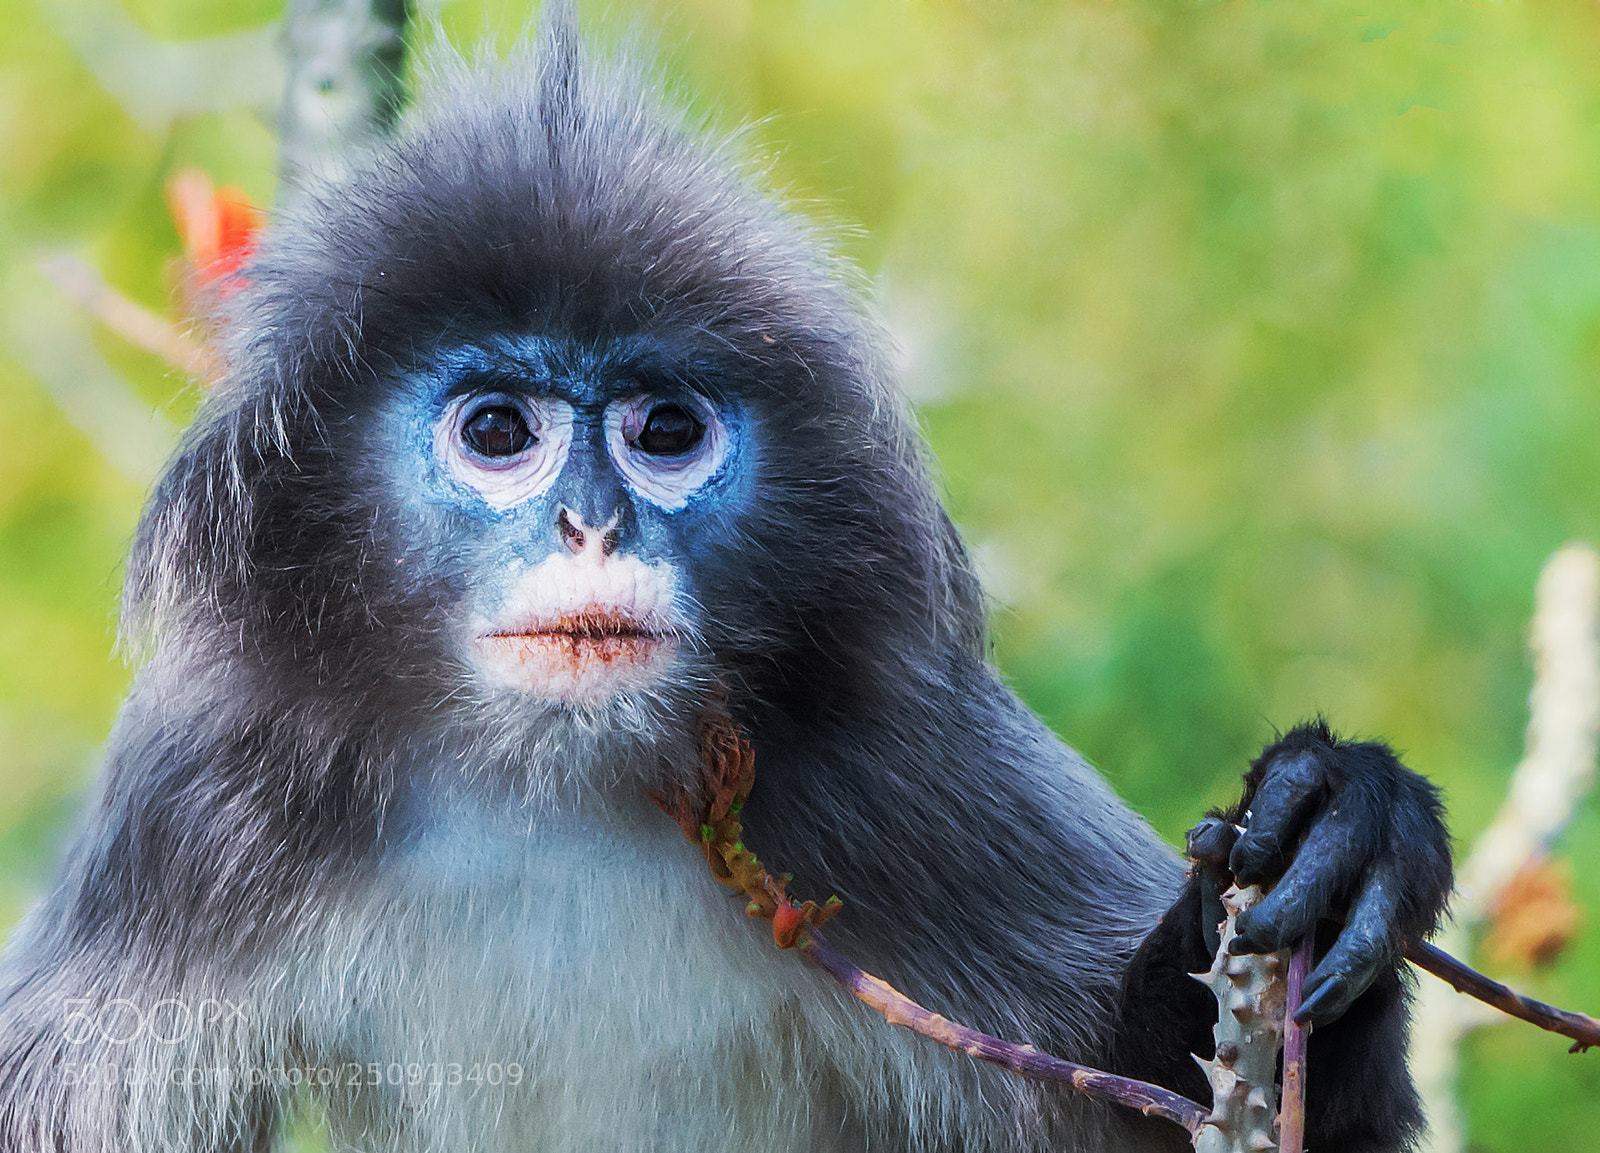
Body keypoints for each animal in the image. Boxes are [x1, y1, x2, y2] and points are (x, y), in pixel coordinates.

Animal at [0, 16, 1451, 1153]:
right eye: (496, 431)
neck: (559, 787)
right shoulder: (204, 799)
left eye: (665, 429)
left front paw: (1341, 822)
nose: (592, 521)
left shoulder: (895, 754)